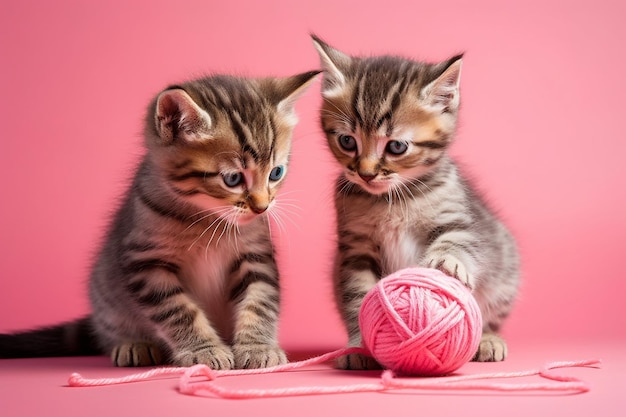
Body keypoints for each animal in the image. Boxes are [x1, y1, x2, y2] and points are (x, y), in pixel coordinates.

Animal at [0, 70, 320, 368]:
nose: (262, 207)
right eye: (232, 179)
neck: (206, 220)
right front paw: (204, 350)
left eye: (276, 173)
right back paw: (132, 344)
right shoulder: (146, 262)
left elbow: (259, 301)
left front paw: (258, 347)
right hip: (106, 294)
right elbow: (178, 310)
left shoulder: (256, 255)